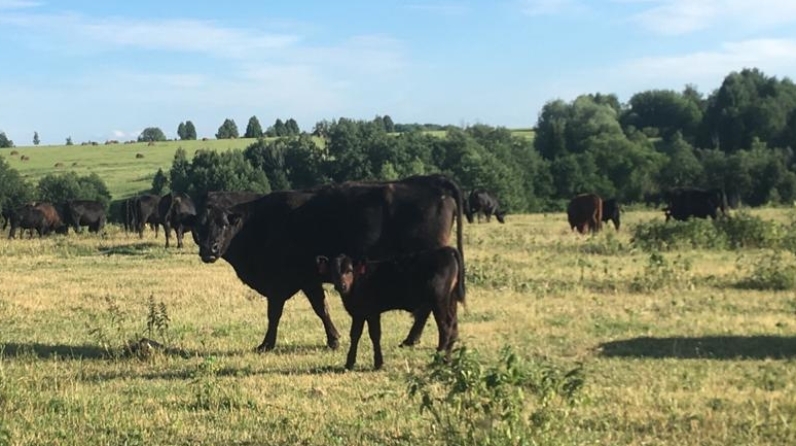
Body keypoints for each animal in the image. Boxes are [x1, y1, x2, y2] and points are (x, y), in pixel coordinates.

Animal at [190, 174, 465, 353]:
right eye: (199, 226)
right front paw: (333, 339)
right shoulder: (305, 278)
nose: (209, 249)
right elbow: (320, 307)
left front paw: (267, 344)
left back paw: (413, 339)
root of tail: (431, 181)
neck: (261, 222)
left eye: (223, 224)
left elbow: (280, 313)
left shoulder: (285, 280)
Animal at [316, 247, 464, 370]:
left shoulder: (372, 312)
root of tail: (447, 250)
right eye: (333, 271)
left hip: (439, 301)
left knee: (445, 328)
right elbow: (355, 335)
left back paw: (437, 360)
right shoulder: (359, 313)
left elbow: (375, 335)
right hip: (450, 300)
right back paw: (447, 360)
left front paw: (378, 363)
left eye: (349, 271)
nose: (341, 286)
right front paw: (349, 363)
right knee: (453, 326)